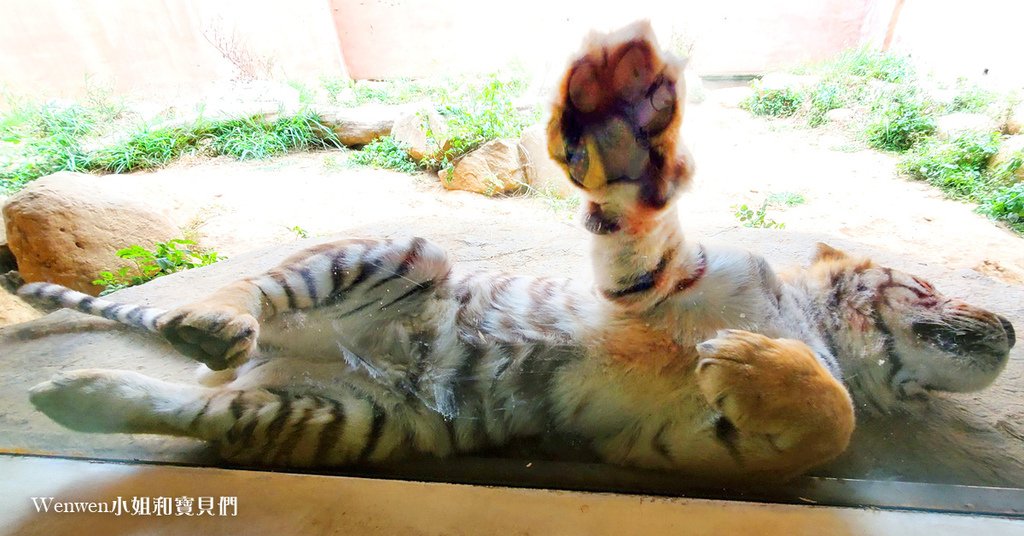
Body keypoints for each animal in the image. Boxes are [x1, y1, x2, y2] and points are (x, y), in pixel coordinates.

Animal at [16, 21, 1015, 481]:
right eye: (928, 284)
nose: (1008, 329)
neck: (814, 326)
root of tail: (270, 360)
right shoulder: (655, 281)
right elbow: (646, 219)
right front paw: (620, 117)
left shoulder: (670, 443)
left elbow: (828, 423)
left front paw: (745, 363)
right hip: (404, 251)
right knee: (253, 297)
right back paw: (202, 328)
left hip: (343, 420)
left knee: (195, 406)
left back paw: (82, 394)